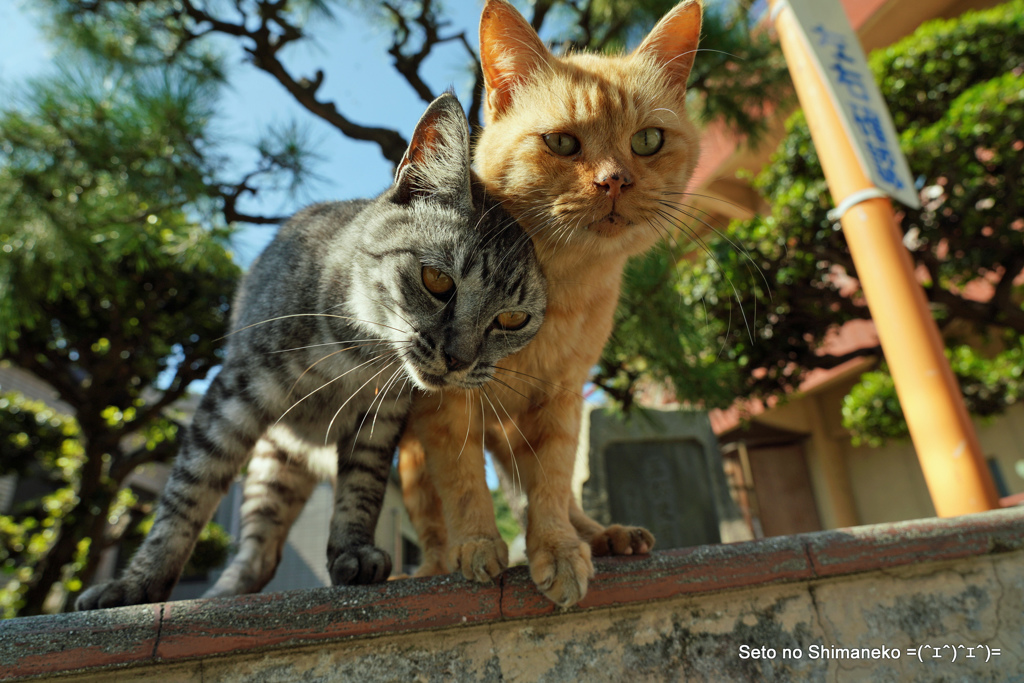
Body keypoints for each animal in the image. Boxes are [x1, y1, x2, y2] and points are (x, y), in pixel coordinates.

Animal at [76, 93, 548, 610]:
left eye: (512, 320)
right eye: (438, 281)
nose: (459, 360)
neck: (355, 357)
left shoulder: (380, 419)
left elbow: (361, 487)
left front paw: (354, 552)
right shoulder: (234, 392)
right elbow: (188, 494)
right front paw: (137, 585)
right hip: (270, 461)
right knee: (256, 550)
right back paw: (221, 594)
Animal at [399, 0, 704, 610]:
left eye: (648, 140)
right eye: (562, 143)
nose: (615, 180)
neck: (558, 290)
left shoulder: (561, 399)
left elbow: (552, 484)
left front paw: (560, 550)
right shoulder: (443, 405)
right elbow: (462, 482)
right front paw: (477, 545)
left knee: (557, 495)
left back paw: (605, 536)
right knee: (430, 518)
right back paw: (431, 567)